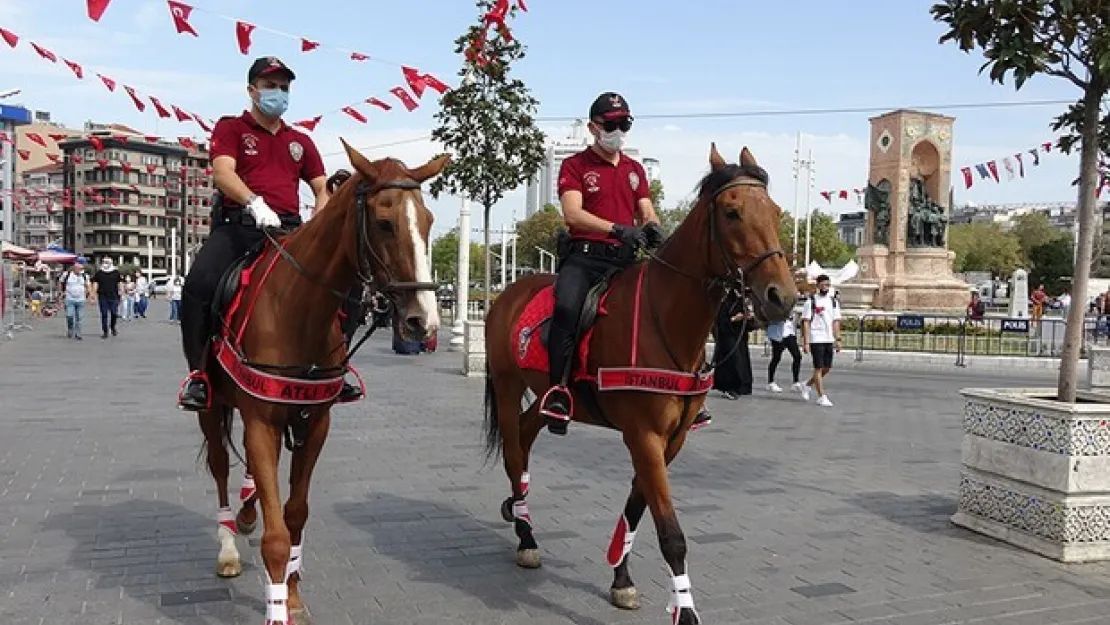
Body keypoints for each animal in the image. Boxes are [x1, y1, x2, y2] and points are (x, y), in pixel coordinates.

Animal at [190, 142, 446, 625]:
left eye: (427, 221)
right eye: (384, 222)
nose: (422, 321)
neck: (297, 310)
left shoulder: (314, 423)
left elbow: (294, 516)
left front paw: (291, 596)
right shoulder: (261, 422)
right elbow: (275, 535)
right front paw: (276, 609)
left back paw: (248, 511)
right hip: (212, 407)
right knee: (219, 465)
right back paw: (228, 545)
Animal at [481, 144, 794, 621]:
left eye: (775, 211)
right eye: (732, 212)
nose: (783, 297)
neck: (665, 316)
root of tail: (508, 294)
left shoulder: (671, 439)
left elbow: (637, 508)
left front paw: (620, 577)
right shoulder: (643, 435)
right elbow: (671, 533)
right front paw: (685, 609)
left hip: (549, 394)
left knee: (529, 430)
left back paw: (518, 512)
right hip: (505, 384)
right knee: (515, 454)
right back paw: (527, 537)